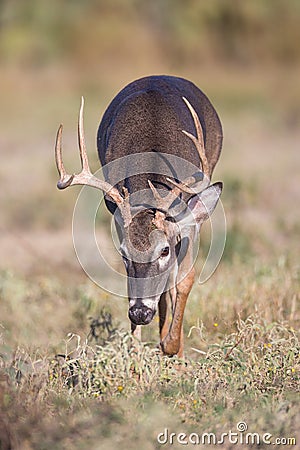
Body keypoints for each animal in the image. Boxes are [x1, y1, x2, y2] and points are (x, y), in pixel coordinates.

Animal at [55, 75, 221, 356]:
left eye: (164, 250)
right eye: (123, 253)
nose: (140, 313)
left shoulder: (185, 216)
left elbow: (184, 281)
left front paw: (172, 347)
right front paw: (135, 352)